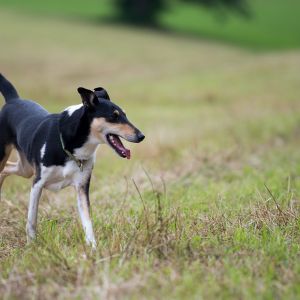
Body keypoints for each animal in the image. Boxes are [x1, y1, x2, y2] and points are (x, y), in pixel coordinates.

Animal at [0, 74, 145, 247]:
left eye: (125, 114)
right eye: (114, 116)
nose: (141, 136)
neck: (71, 147)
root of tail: (13, 99)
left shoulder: (82, 187)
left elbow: (87, 221)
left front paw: (93, 248)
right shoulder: (37, 183)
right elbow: (32, 219)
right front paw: (31, 246)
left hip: (25, 168)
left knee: (7, 169)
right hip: (8, 157)